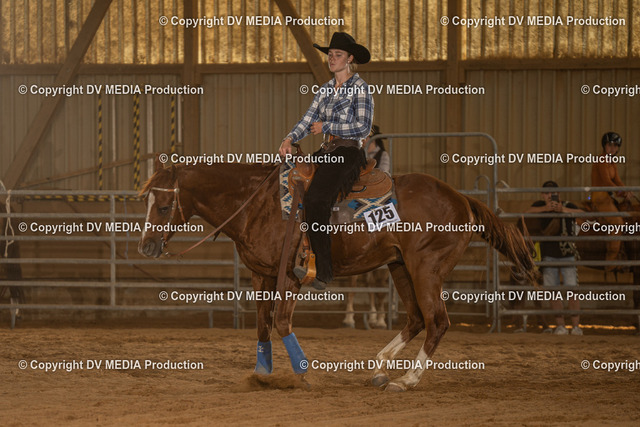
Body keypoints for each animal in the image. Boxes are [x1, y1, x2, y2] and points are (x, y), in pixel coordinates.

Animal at [138, 157, 537, 391]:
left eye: (163, 205)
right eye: (147, 201)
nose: (146, 246)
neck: (258, 204)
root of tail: (462, 199)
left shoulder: (290, 277)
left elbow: (281, 322)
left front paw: (303, 373)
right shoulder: (259, 275)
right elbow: (263, 325)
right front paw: (261, 374)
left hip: (426, 268)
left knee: (437, 320)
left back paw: (407, 379)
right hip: (400, 266)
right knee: (416, 318)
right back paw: (380, 368)